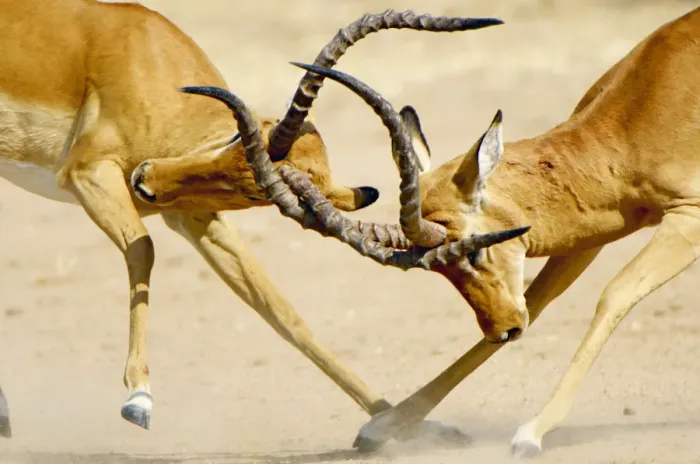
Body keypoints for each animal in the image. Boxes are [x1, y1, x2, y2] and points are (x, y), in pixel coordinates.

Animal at [0, 0, 508, 439]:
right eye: (235, 138)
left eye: (252, 192)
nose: (144, 181)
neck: (150, 64)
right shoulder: (87, 173)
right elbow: (143, 249)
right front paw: (139, 398)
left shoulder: (197, 217)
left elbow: (281, 312)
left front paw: (398, 426)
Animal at [188, 5, 700, 457]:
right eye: (441, 271)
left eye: (474, 251)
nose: (504, 330)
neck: (626, 128)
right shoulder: (589, 233)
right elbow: (539, 300)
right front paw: (383, 429)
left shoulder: (688, 218)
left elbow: (614, 294)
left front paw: (531, 432)